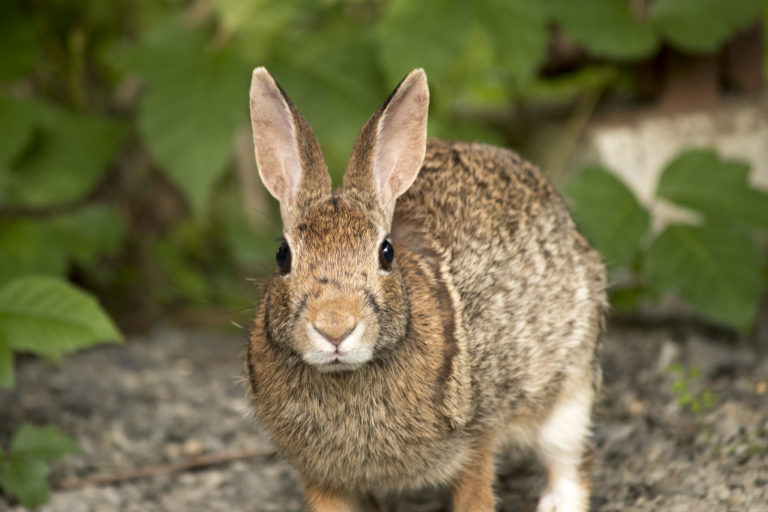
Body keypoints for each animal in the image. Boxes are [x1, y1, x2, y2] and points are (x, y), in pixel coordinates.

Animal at [246, 66, 607, 512]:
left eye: (386, 253)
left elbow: (476, 494)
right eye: (283, 256)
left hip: (568, 389)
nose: (334, 328)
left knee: (568, 463)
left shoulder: (476, 436)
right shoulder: (320, 474)